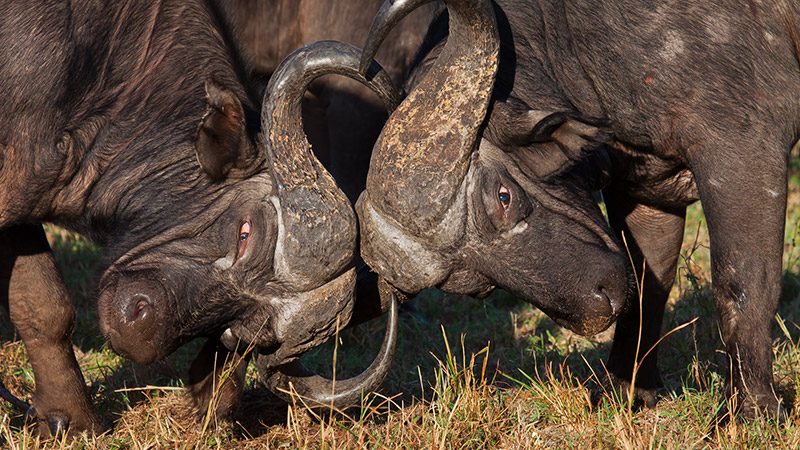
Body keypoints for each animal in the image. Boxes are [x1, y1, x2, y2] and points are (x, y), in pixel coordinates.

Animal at [358, 0, 800, 420]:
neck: (573, 36)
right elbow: (649, 283)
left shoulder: (742, 151)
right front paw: (624, 387)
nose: (593, 310)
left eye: (504, 197)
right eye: (474, 283)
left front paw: (751, 410)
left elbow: (742, 285)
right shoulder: (645, 189)